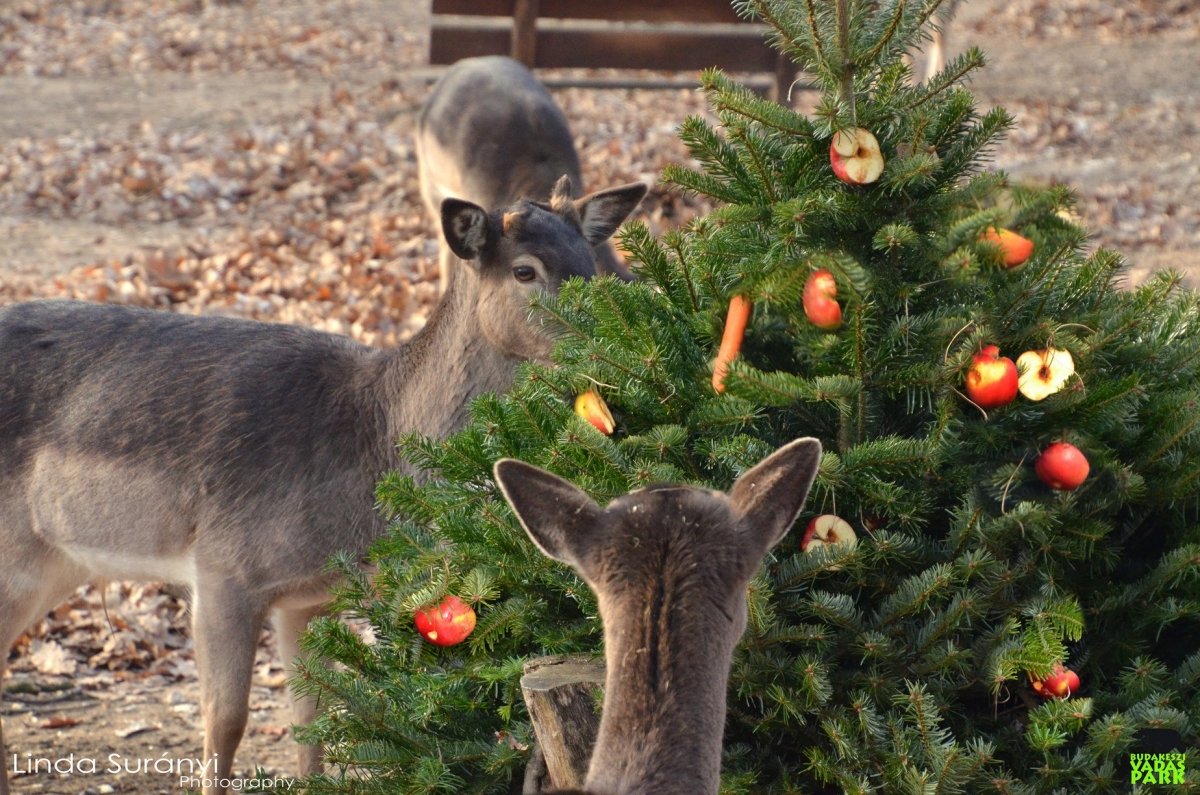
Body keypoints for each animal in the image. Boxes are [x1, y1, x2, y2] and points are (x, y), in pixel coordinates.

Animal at [0, 171, 648, 792]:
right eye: (524, 270)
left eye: (591, 263)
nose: (608, 341)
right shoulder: (222, 568)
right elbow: (225, 723)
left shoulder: (308, 600)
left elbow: (314, 723)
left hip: (56, 564)